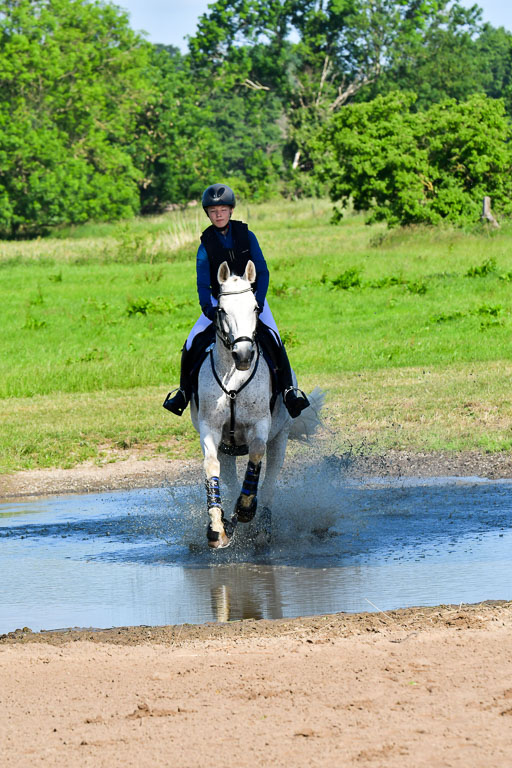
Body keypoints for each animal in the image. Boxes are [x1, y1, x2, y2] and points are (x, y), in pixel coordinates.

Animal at [190, 259, 324, 549]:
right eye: (221, 309)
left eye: (255, 307)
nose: (243, 355)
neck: (233, 378)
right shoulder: (210, 429)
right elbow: (211, 466)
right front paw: (216, 528)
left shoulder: (260, 425)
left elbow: (256, 455)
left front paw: (245, 508)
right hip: (227, 448)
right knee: (229, 477)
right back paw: (229, 522)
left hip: (280, 438)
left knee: (270, 479)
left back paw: (261, 527)